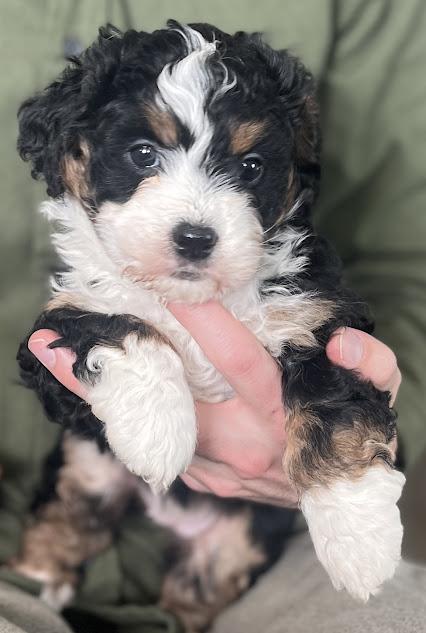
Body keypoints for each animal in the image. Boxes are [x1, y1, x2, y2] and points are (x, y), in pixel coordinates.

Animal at [12, 22, 404, 632]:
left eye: (251, 167)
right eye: (142, 154)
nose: (195, 238)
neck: (196, 296)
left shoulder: (323, 319)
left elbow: (336, 407)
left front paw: (359, 535)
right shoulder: (57, 333)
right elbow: (116, 322)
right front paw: (158, 432)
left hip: (234, 541)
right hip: (87, 462)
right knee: (71, 509)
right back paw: (40, 571)